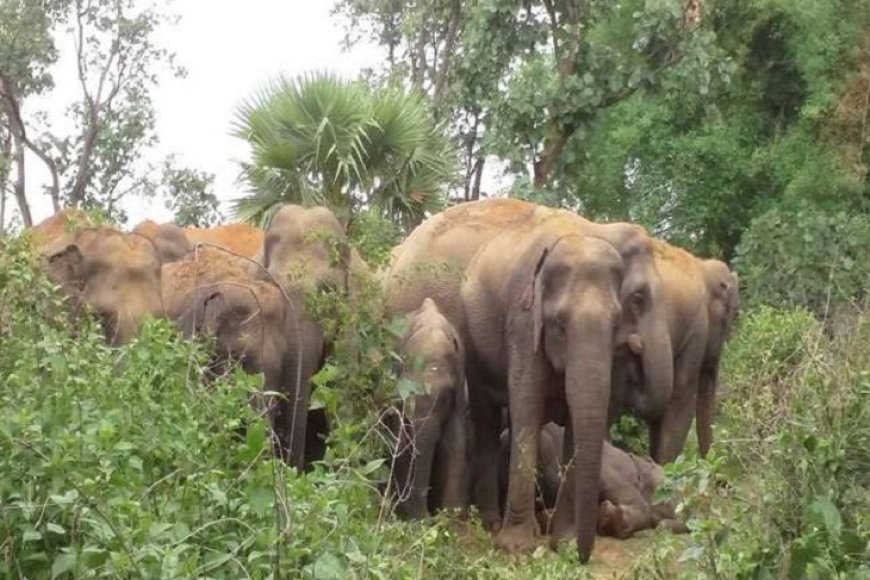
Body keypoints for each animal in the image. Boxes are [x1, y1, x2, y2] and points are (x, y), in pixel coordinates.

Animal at [390, 296, 470, 520]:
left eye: (445, 397)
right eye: (407, 394)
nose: (426, 515)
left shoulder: (460, 393)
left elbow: (455, 441)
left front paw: (451, 519)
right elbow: (402, 442)